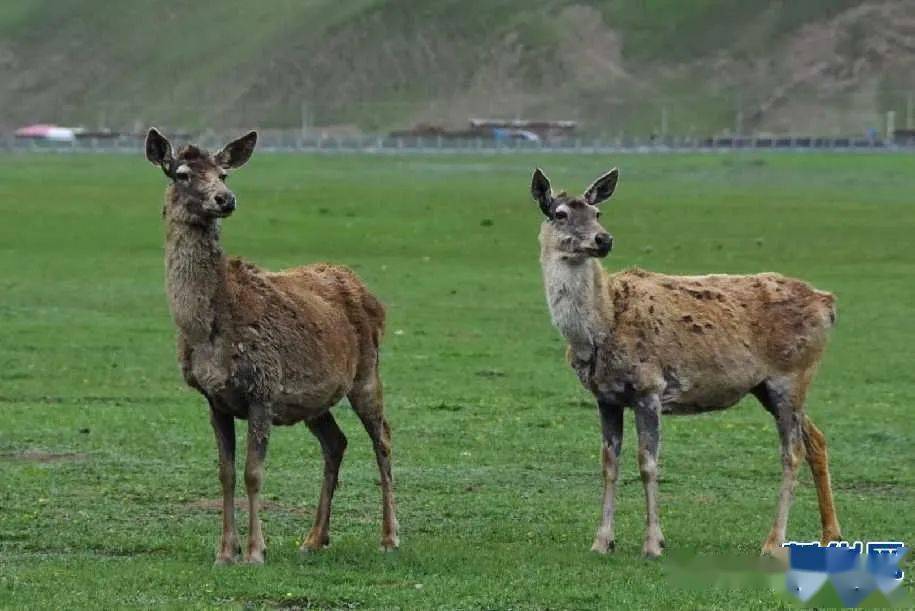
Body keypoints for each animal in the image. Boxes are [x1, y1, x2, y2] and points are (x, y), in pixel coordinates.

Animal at [145, 129, 398, 564]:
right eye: (181, 174)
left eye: (224, 173)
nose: (225, 199)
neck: (206, 330)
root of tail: (367, 291)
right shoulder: (214, 399)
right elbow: (226, 473)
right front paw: (224, 552)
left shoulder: (263, 387)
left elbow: (253, 472)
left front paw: (255, 551)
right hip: (315, 397)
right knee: (336, 442)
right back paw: (314, 538)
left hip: (367, 370)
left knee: (382, 437)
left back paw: (390, 536)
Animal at [532, 167, 840, 560]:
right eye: (559, 214)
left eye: (597, 212)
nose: (603, 239)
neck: (601, 327)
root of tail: (828, 304)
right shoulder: (606, 397)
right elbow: (608, 464)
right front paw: (602, 541)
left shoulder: (650, 387)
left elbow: (647, 464)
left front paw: (653, 543)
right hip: (769, 388)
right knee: (816, 439)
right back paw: (831, 534)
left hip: (792, 375)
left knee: (792, 452)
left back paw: (773, 543)